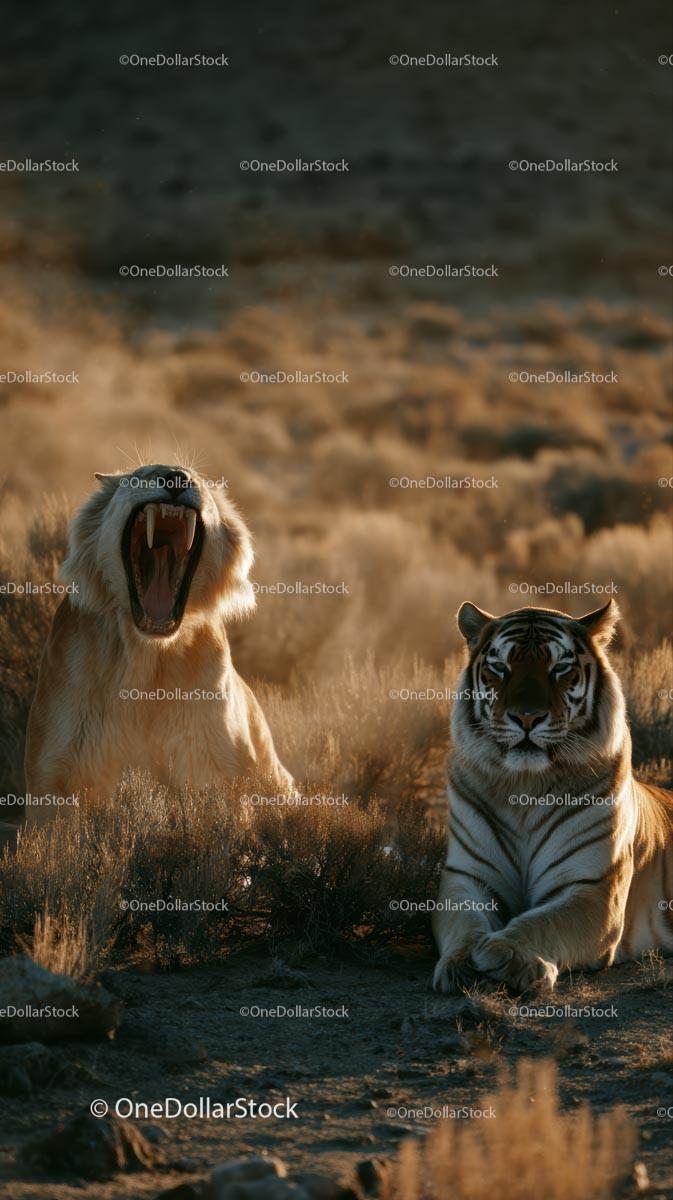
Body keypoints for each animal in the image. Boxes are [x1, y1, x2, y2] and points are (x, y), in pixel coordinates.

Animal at [433, 599, 673, 993]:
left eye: (559, 668)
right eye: (500, 668)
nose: (526, 718)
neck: (524, 786)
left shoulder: (592, 887)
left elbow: (543, 921)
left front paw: (506, 952)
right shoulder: (466, 877)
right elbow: (465, 922)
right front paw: (462, 961)